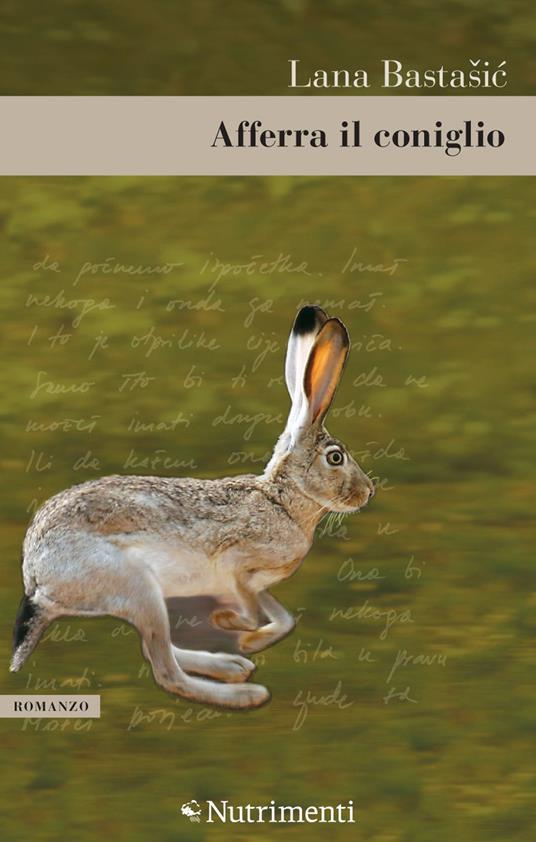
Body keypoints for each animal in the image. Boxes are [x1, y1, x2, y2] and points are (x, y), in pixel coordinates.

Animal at [11, 306, 374, 709]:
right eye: (336, 457)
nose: (368, 491)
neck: (282, 501)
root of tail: (36, 575)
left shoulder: (259, 583)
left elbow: (284, 619)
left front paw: (249, 640)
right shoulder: (235, 563)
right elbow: (250, 608)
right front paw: (235, 626)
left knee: (156, 649)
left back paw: (232, 666)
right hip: (140, 588)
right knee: (164, 669)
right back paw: (245, 693)